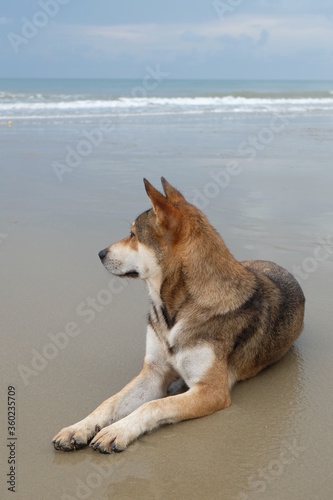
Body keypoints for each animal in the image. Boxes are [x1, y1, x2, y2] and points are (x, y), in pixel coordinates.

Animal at [53, 177, 304, 454]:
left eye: (133, 235)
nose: (100, 253)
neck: (175, 311)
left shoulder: (211, 391)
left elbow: (154, 405)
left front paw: (118, 430)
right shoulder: (154, 373)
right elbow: (110, 402)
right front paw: (79, 427)